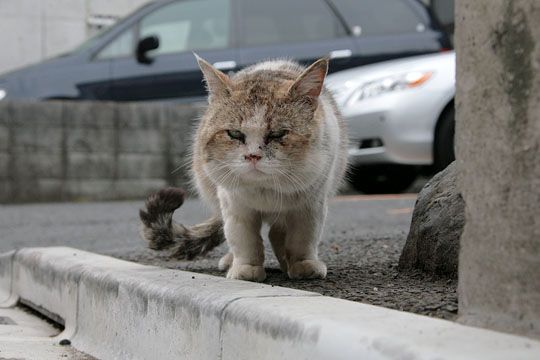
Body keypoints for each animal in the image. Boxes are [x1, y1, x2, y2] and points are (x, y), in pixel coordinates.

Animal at [139, 54, 348, 282]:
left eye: (278, 134)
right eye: (234, 134)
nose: (253, 156)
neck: (266, 190)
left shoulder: (311, 204)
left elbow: (303, 237)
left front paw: (303, 264)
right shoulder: (234, 204)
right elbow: (243, 238)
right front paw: (246, 268)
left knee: (277, 233)